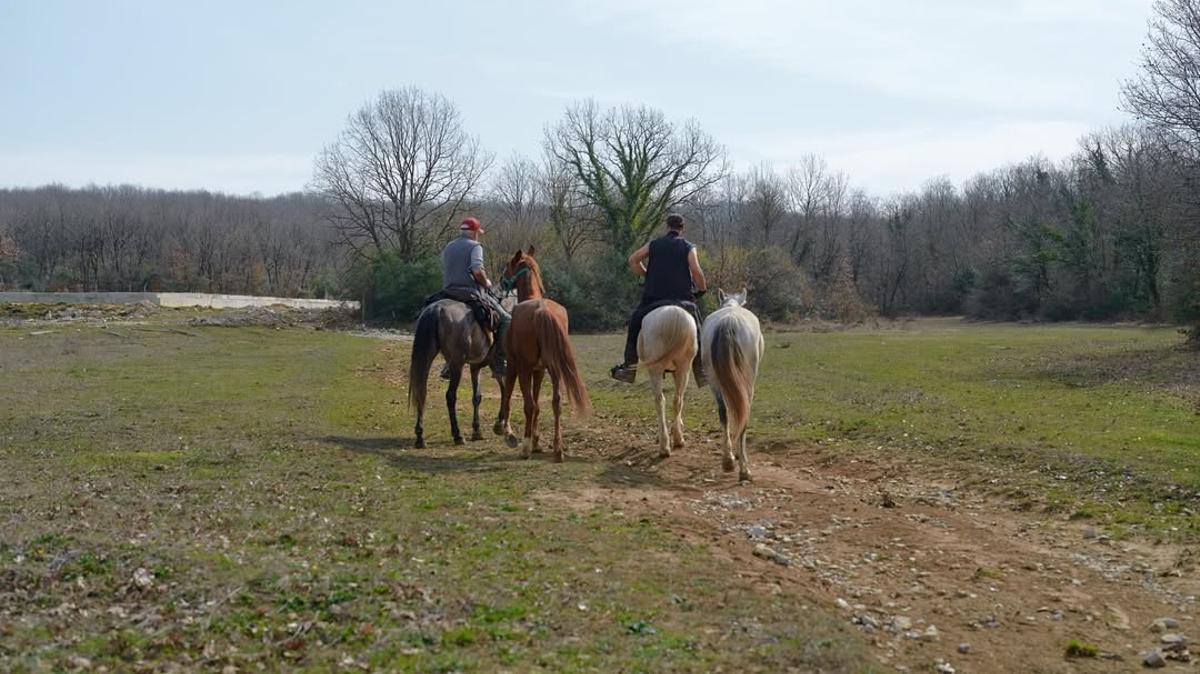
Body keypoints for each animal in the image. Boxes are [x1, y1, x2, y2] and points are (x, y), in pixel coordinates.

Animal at [407, 293, 503, 449]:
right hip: (457, 365)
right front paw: (500, 424)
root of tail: (435, 310)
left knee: (422, 392)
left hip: (428, 358)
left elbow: (477, 397)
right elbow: (505, 390)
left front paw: (477, 431)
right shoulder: (495, 364)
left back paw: (420, 437)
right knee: (450, 396)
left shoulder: (475, 367)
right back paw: (457, 435)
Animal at [492, 246, 590, 462]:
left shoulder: (515, 366)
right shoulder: (539, 370)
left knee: (528, 404)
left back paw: (525, 447)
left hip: (524, 369)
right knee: (556, 403)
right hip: (553, 370)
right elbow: (538, 405)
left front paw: (507, 432)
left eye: (508, 264)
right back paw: (557, 448)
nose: (501, 281)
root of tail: (542, 311)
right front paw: (537, 441)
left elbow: (509, 396)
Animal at [639, 304, 700, 457]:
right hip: (684, 367)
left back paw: (664, 446)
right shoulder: (676, 371)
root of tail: (673, 313)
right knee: (677, 399)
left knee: (660, 400)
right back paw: (678, 439)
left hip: (655, 369)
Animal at [701, 288, 764, 482]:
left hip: (713, 380)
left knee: (723, 413)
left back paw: (727, 460)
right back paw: (744, 470)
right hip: (748, 381)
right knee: (744, 414)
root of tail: (728, 321)